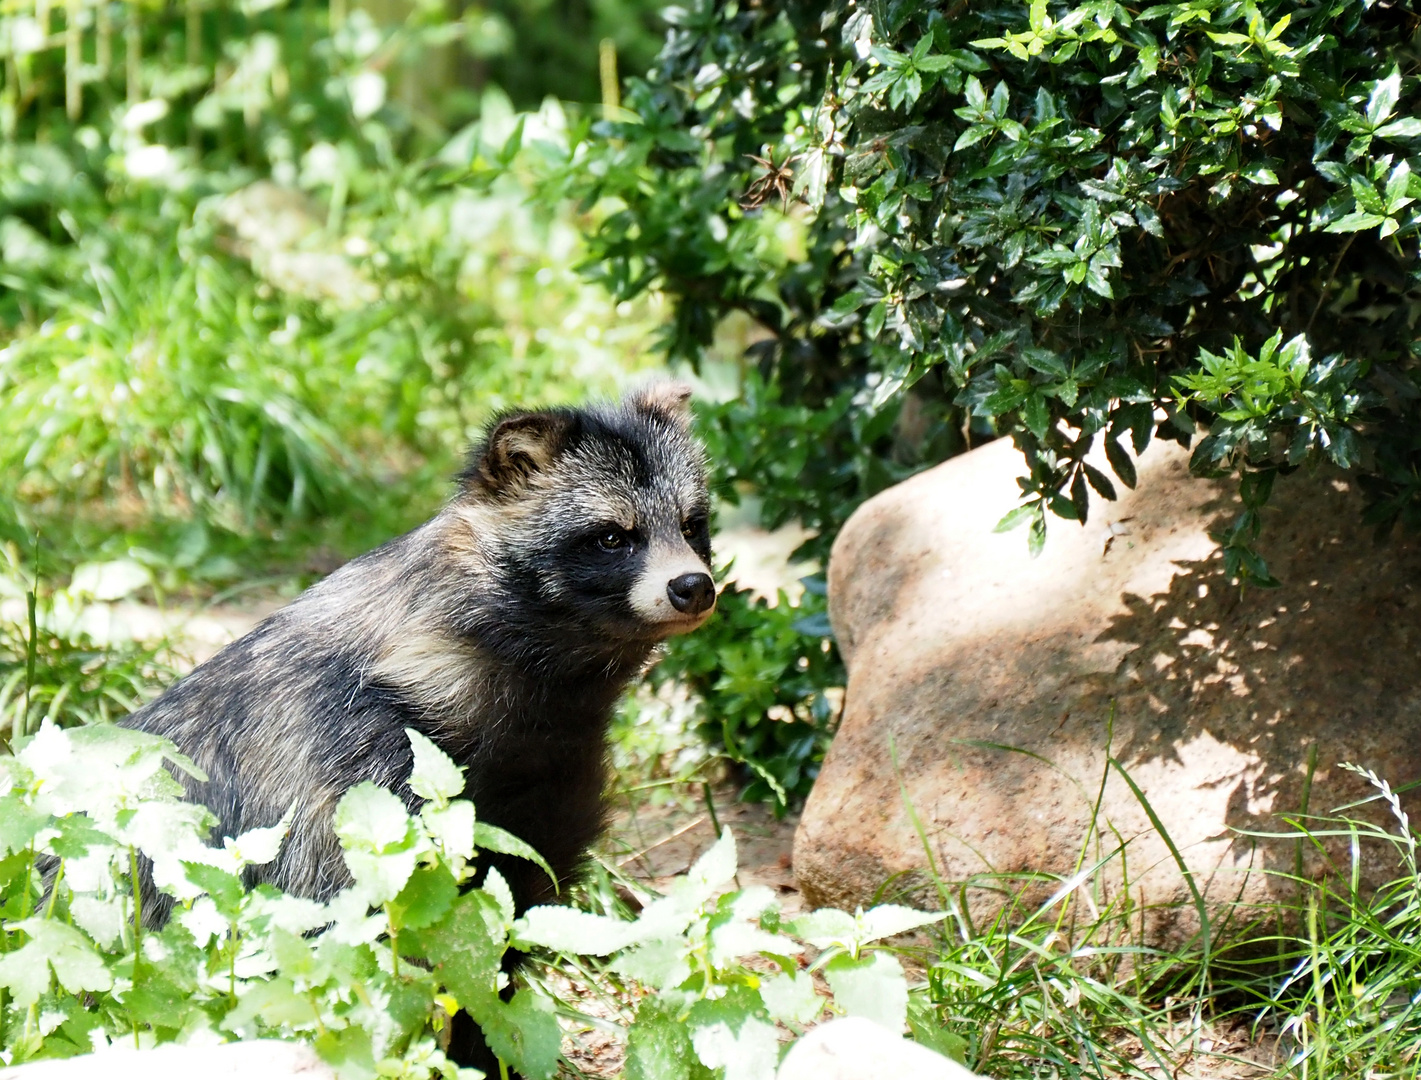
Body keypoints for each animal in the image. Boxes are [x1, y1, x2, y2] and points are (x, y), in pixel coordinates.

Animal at [116, 383, 716, 1057]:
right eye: (613, 537)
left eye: (692, 526)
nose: (693, 586)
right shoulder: (353, 773)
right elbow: (357, 941)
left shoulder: (544, 792)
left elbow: (495, 951)